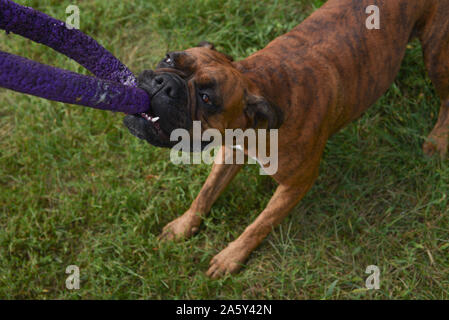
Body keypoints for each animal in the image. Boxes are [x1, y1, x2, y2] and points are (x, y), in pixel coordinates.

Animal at [122, 0, 448, 278]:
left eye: (206, 98)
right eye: (169, 58)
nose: (164, 83)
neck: (260, 87)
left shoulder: (295, 184)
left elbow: (259, 224)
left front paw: (231, 257)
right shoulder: (231, 152)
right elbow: (205, 194)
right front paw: (183, 226)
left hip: (436, 54)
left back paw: (436, 140)